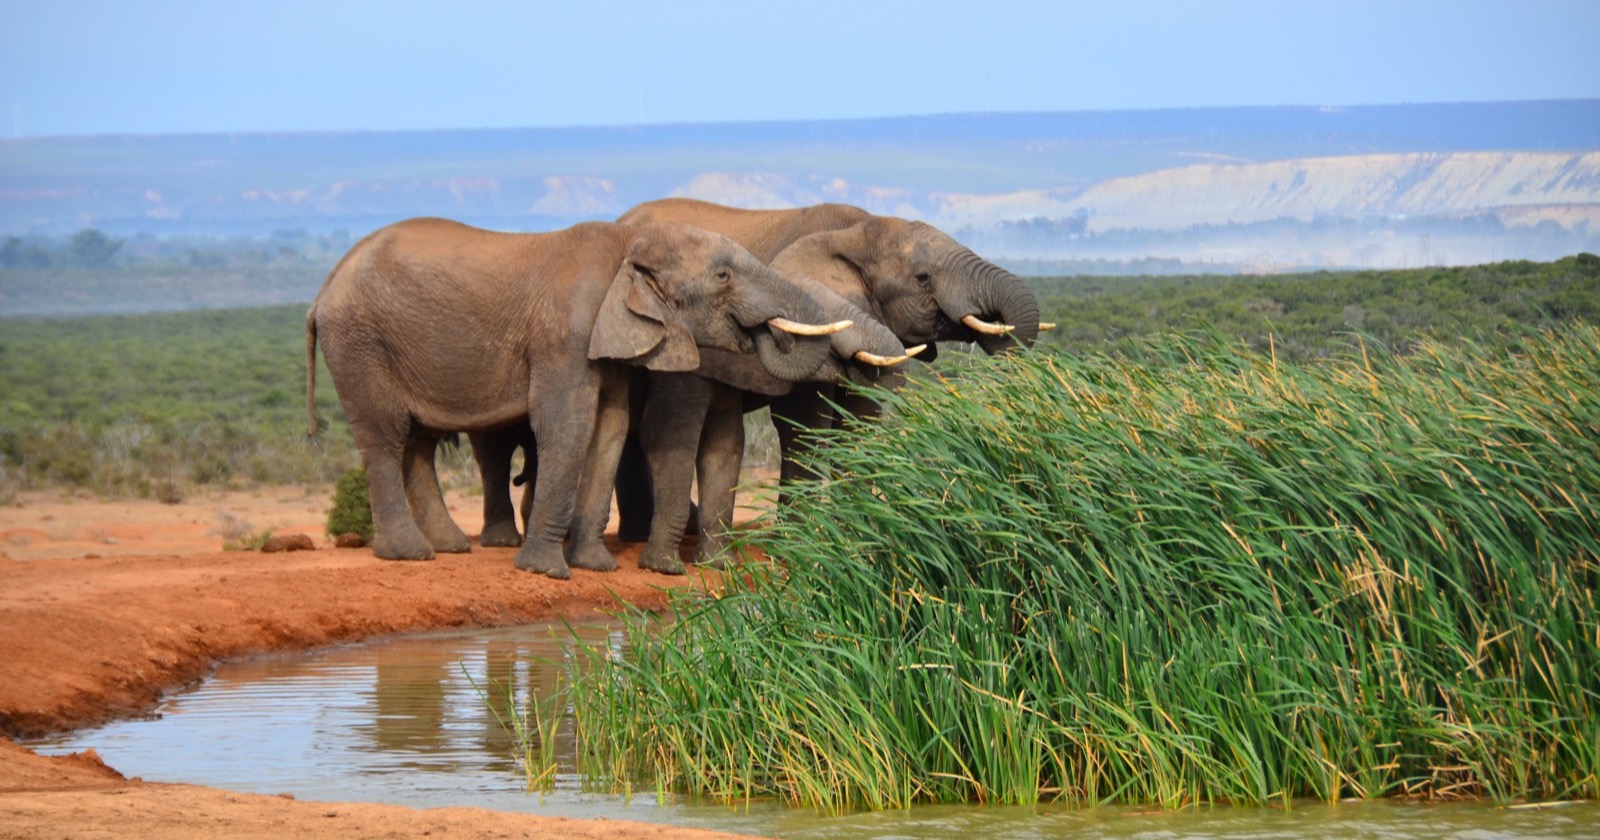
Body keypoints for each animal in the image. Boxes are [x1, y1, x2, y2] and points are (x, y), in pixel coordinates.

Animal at [305, 216, 846, 579]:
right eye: (723, 276)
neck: (627, 243)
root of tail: (321, 292)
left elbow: (610, 427)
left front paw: (594, 566)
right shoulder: (565, 335)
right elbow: (569, 425)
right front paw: (546, 571)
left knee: (418, 440)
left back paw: (449, 547)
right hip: (359, 342)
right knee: (387, 435)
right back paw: (409, 553)